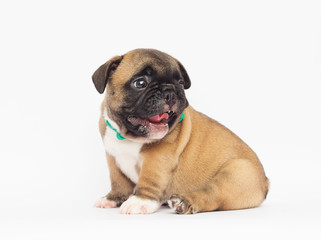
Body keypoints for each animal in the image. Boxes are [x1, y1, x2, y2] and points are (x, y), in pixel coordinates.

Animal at [92, 48, 268, 214]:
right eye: (140, 83)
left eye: (181, 83)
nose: (170, 91)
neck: (128, 137)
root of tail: (265, 182)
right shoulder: (113, 158)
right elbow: (118, 181)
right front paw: (112, 198)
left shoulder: (156, 159)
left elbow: (149, 180)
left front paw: (140, 201)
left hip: (234, 175)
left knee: (210, 195)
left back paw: (184, 202)